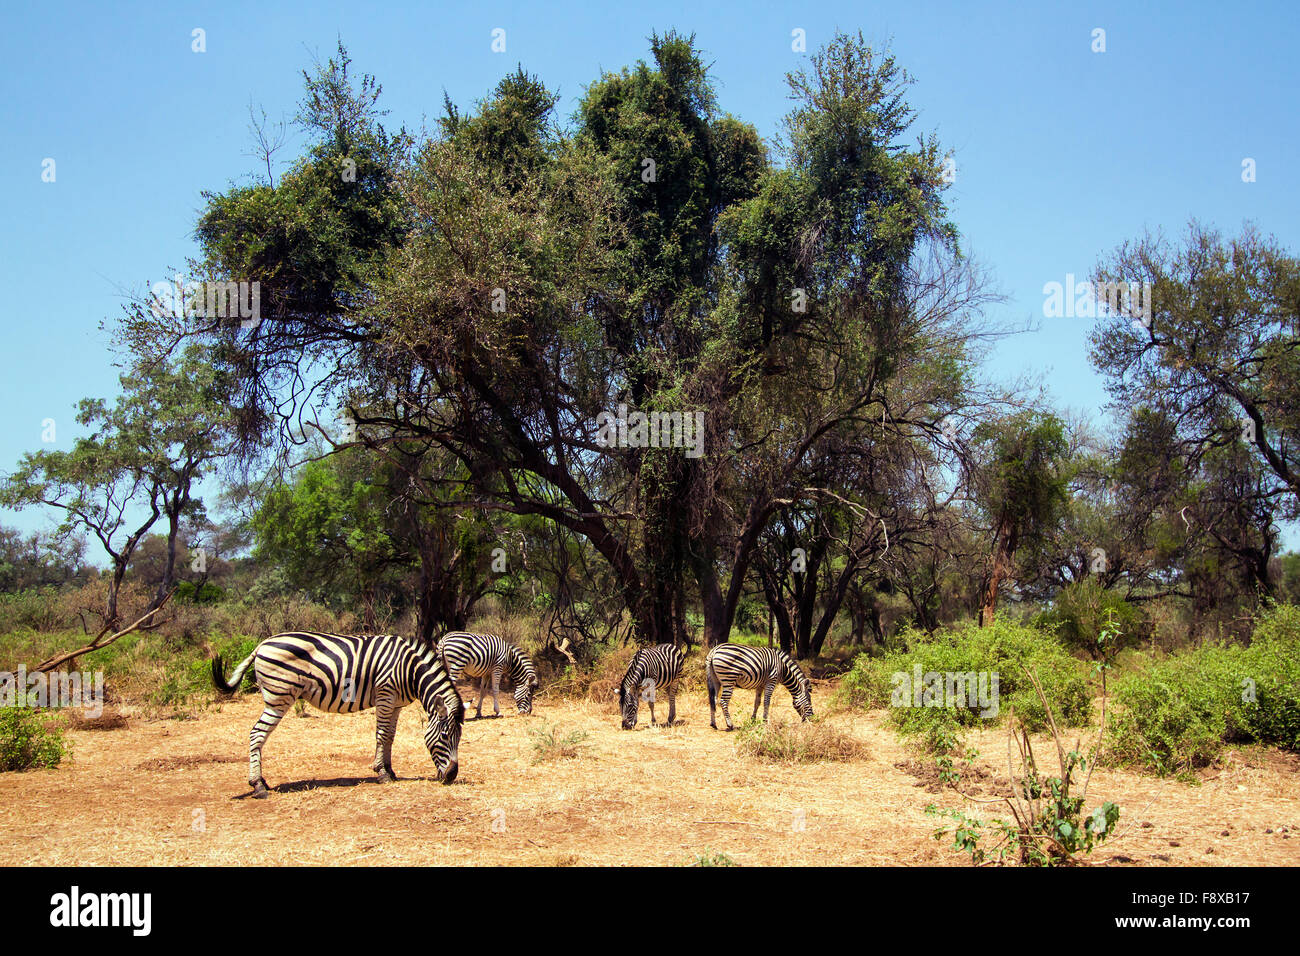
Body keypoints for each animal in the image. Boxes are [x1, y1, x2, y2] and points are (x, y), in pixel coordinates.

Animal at [211, 631, 464, 797]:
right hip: (278, 698)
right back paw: (258, 785)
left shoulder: (396, 704)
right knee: (256, 734)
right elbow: (381, 735)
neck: (410, 670)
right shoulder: (385, 695)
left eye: (459, 739)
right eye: (444, 737)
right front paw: (381, 773)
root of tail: (261, 645)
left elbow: (390, 736)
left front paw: (391, 771)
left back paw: (261, 781)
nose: (451, 776)